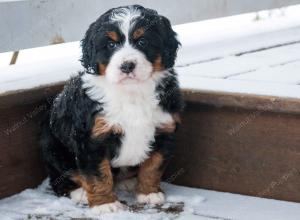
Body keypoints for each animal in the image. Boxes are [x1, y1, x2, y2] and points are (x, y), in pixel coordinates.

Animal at [39, 4, 183, 213]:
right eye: (111, 45)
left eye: (142, 41)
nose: (127, 65)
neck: (132, 93)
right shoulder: (92, 138)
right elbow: (98, 175)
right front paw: (104, 204)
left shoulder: (164, 130)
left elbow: (153, 166)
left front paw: (149, 193)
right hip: (52, 147)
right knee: (61, 178)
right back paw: (80, 193)